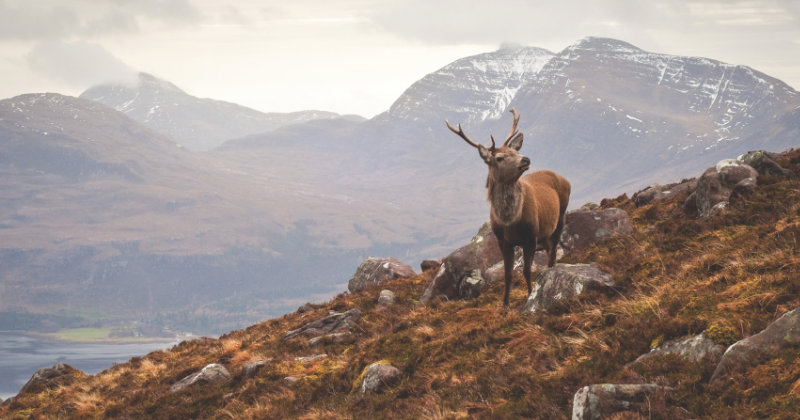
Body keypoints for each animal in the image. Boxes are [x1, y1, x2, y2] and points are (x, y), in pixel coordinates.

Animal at [446, 108, 571, 307]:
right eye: (499, 158)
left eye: (514, 150)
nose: (525, 159)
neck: (510, 222)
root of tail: (565, 180)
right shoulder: (503, 241)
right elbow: (507, 273)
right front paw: (505, 304)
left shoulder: (530, 237)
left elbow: (526, 270)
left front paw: (530, 295)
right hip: (544, 234)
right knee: (551, 253)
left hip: (560, 218)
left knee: (552, 256)